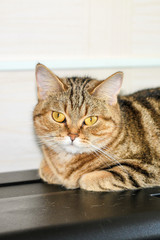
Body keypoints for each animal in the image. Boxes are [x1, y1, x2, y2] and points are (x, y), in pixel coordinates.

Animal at [32, 63, 160, 191]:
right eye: (58, 116)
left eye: (91, 120)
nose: (72, 135)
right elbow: (44, 170)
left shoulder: (147, 169)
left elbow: (85, 179)